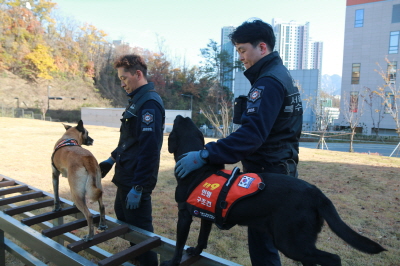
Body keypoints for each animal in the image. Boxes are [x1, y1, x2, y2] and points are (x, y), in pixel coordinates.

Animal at [161, 115, 386, 266]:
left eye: (177, 123)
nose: (180, 115)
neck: (199, 169)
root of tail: (317, 194)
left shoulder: (184, 215)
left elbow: (179, 243)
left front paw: (172, 261)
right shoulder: (205, 215)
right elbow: (202, 238)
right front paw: (196, 251)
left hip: (290, 242)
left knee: (333, 258)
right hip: (299, 243)